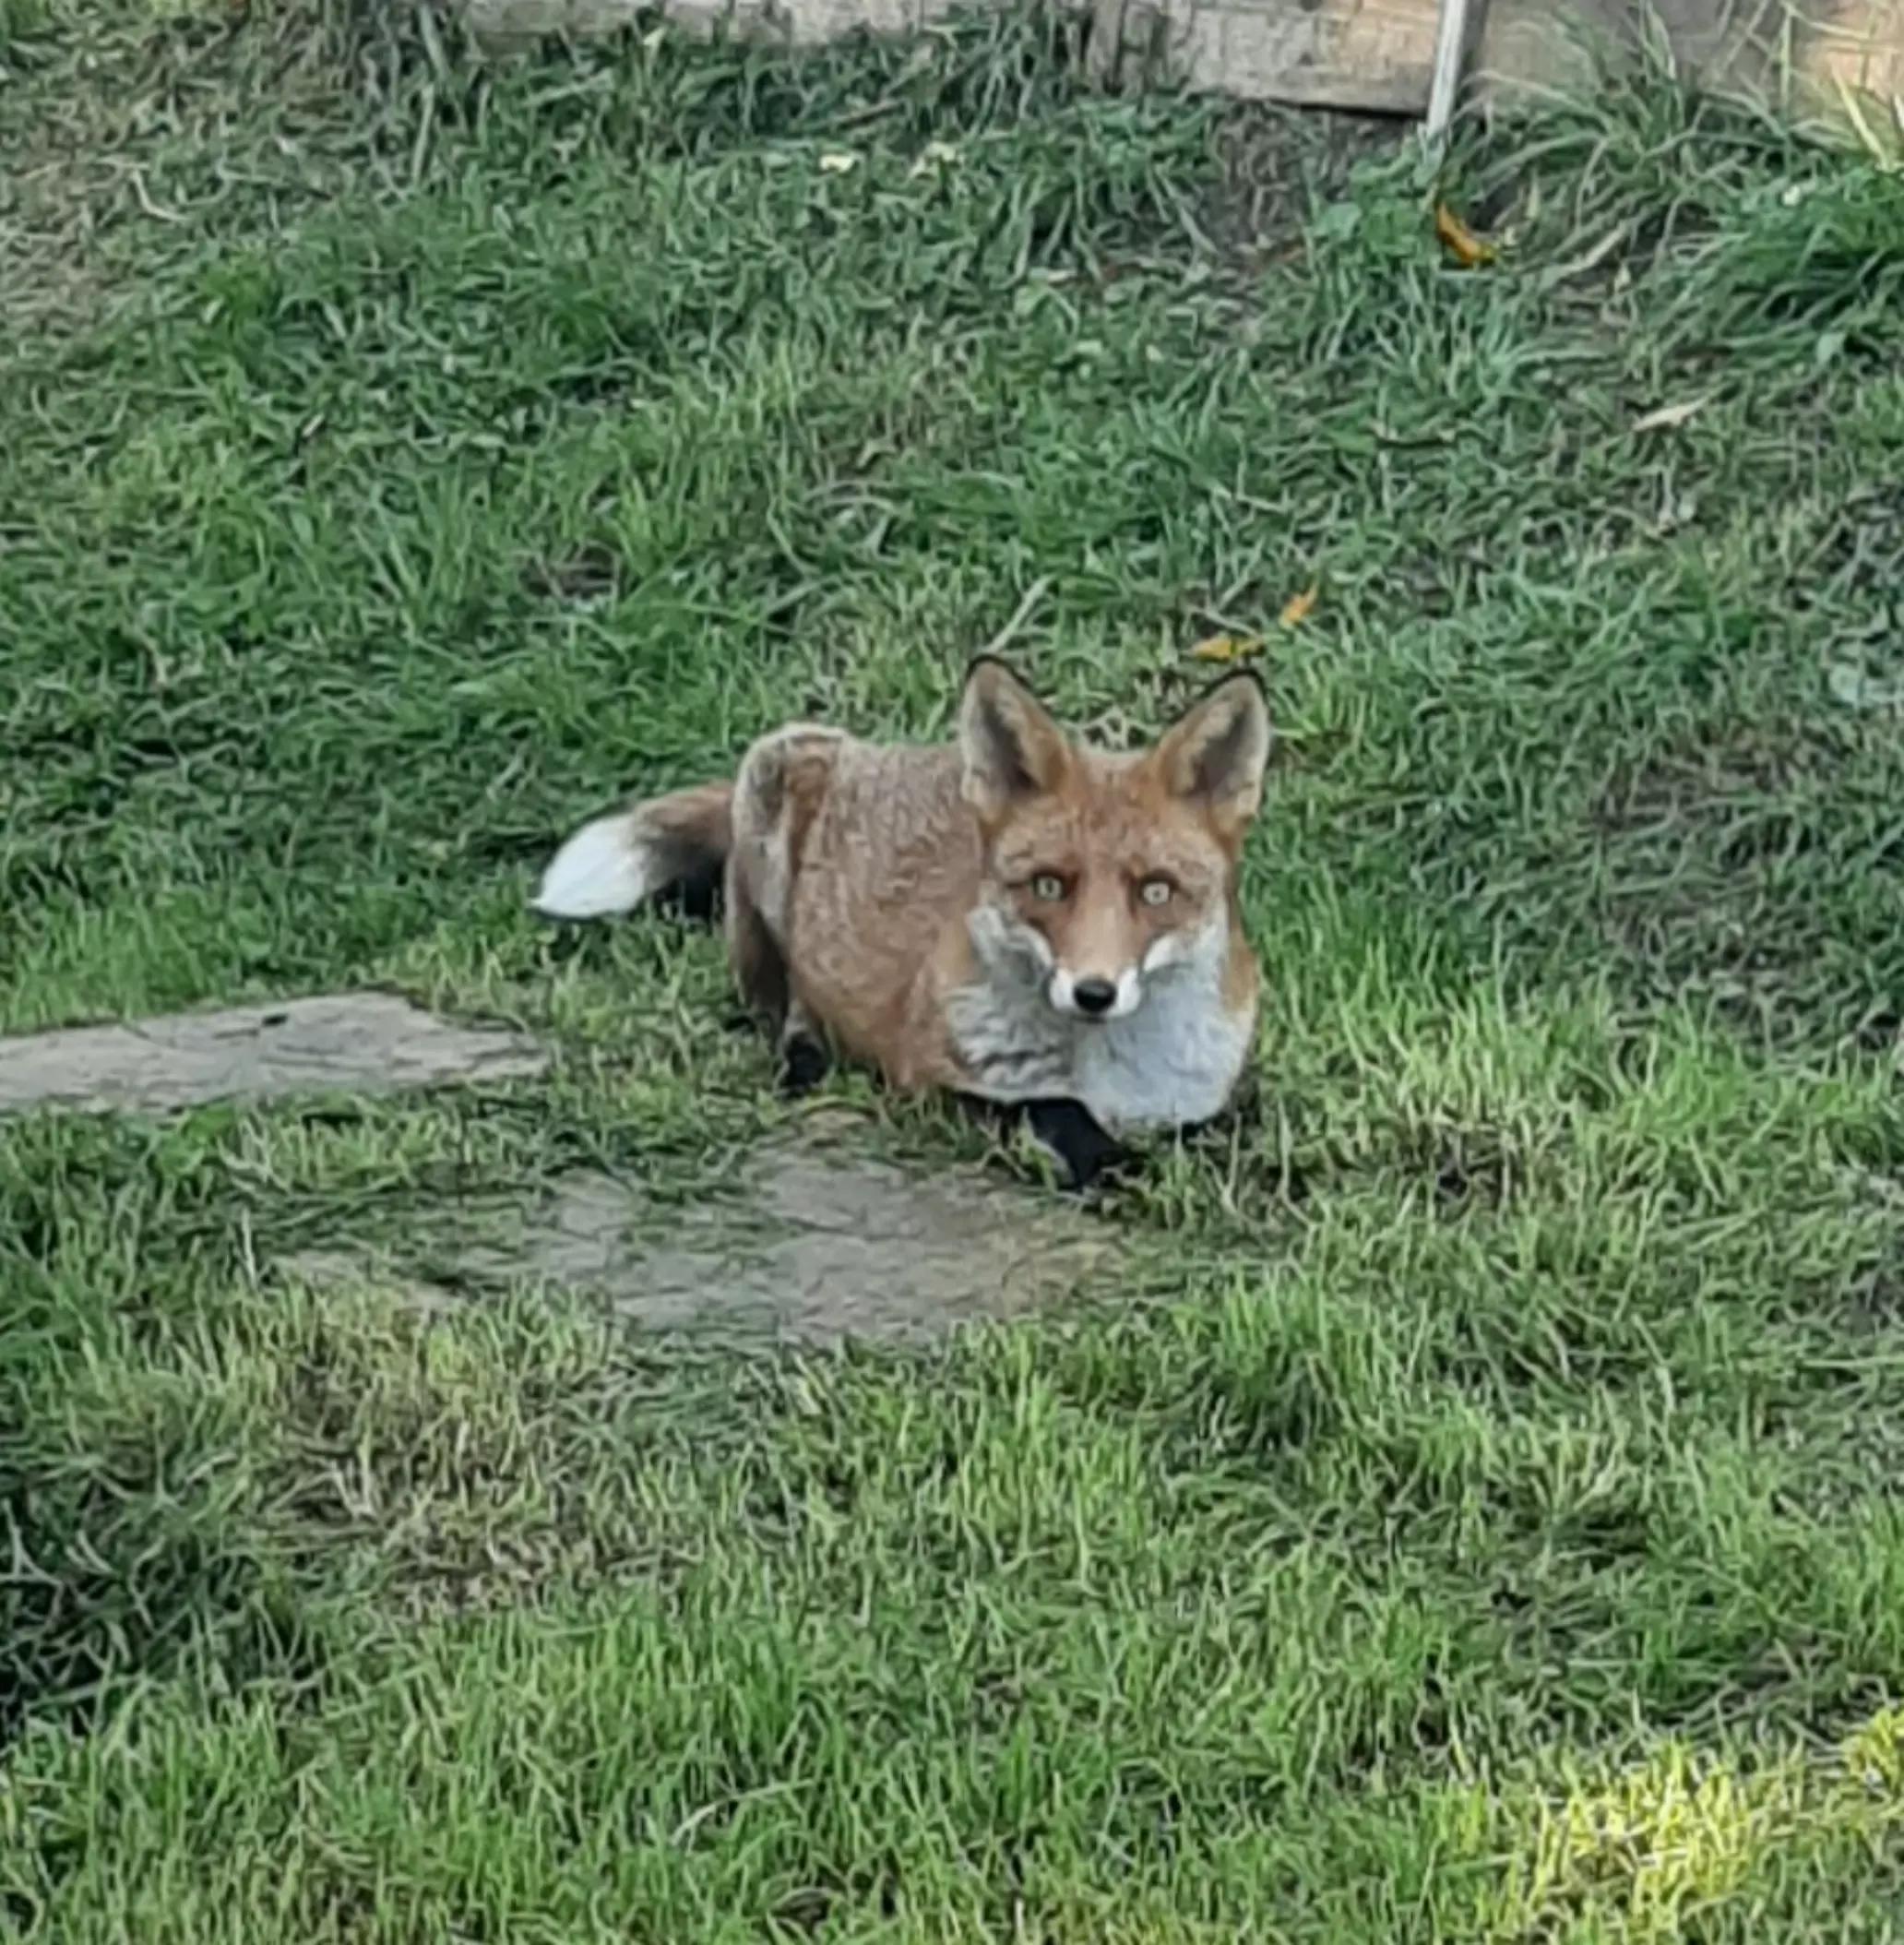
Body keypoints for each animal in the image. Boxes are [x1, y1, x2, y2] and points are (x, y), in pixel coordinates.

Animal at [532, 658, 1270, 1187]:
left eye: (1156, 891)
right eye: (1048, 885)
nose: (1094, 992)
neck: (1108, 1074)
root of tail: (870, 746)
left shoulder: (1210, 1101)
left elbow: (1220, 1131)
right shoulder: (934, 1083)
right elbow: (1052, 1111)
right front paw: (1110, 1165)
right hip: (772, 793)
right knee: (783, 1004)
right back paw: (806, 1062)